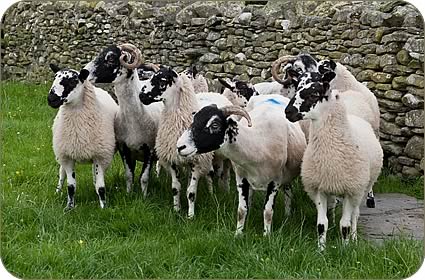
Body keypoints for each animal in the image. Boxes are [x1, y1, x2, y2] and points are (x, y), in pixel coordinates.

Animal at [47, 63, 118, 208]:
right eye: (54, 78)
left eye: (72, 81)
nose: (51, 99)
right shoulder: (67, 156)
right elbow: (71, 186)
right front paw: (69, 207)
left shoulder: (100, 156)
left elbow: (101, 187)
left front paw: (104, 207)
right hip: (61, 153)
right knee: (61, 173)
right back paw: (57, 191)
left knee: (95, 176)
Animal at [83, 44, 161, 197]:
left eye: (111, 58)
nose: (83, 72)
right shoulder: (124, 148)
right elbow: (129, 175)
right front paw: (129, 194)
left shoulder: (149, 148)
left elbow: (144, 177)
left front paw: (144, 197)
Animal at [139, 66, 234, 218]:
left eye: (162, 81)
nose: (141, 96)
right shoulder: (173, 160)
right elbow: (176, 188)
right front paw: (177, 210)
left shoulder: (196, 160)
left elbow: (191, 191)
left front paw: (190, 215)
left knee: (214, 174)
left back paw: (215, 192)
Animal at [176, 94, 304, 236]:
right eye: (194, 120)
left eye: (215, 124)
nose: (180, 146)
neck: (257, 144)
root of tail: (272, 95)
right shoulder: (241, 178)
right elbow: (241, 210)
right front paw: (238, 234)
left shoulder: (275, 181)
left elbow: (268, 212)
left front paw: (267, 236)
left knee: (288, 191)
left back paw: (287, 215)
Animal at [284, 69, 382, 249]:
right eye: (297, 87)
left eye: (314, 94)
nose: (287, 112)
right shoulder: (319, 189)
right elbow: (322, 224)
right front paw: (321, 249)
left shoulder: (351, 190)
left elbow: (345, 225)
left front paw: (345, 248)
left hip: (362, 188)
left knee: (355, 214)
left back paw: (354, 238)